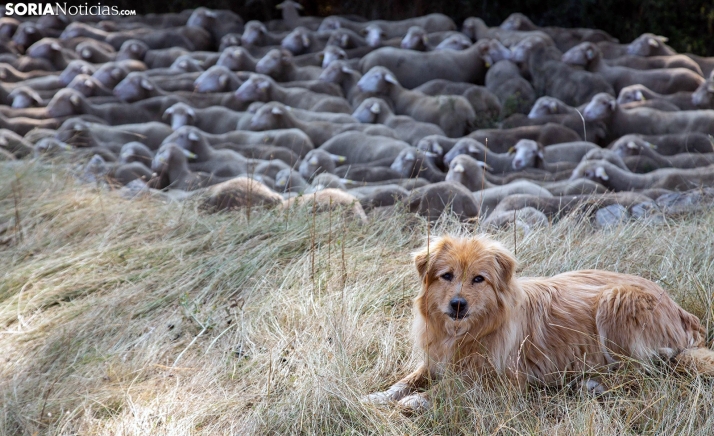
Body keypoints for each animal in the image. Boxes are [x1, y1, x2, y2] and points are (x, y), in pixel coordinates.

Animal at [362, 233, 712, 410]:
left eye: (478, 279)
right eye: (447, 276)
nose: (458, 305)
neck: (467, 332)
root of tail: (684, 314)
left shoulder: (502, 383)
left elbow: (450, 389)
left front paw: (417, 400)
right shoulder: (434, 362)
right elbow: (404, 381)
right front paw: (379, 396)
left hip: (617, 302)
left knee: (640, 374)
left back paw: (590, 385)